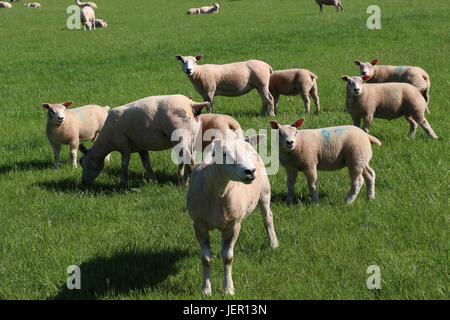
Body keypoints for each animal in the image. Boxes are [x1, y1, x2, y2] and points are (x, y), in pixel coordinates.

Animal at [79, 94, 211, 185]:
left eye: (83, 163)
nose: (84, 183)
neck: (107, 139)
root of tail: (191, 104)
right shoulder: (141, 147)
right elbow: (146, 164)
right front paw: (154, 181)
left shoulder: (124, 145)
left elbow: (124, 164)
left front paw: (123, 182)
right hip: (192, 137)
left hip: (181, 136)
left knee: (189, 159)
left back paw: (184, 183)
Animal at [186, 133, 278, 296]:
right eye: (223, 154)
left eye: (248, 153)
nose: (250, 171)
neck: (218, 192)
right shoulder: (199, 224)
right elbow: (206, 258)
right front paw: (206, 289)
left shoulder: (233, 225)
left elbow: (228, 258)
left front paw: (228, 289)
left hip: (265, 191)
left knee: (268, 217)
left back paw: (273, 243)